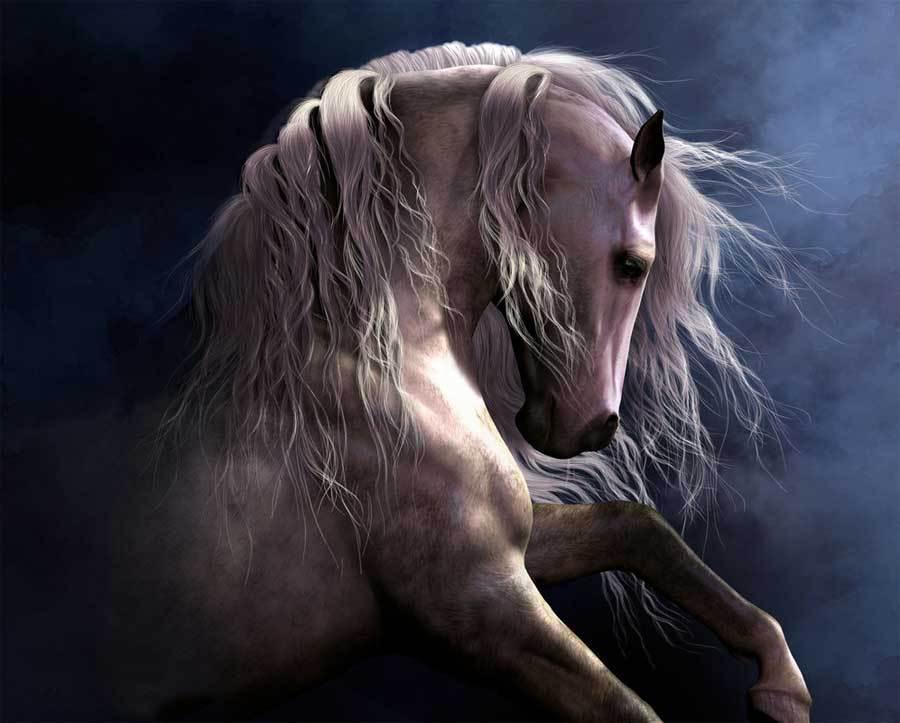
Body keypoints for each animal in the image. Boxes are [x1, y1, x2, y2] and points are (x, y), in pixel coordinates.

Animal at [105, 42, 812, 721]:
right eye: (634, 264)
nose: (594, 426)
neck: (367, 373)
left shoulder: (514, 548)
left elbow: (638, 527)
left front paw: (782, 686)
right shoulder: (477, 609)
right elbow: (626, 705)